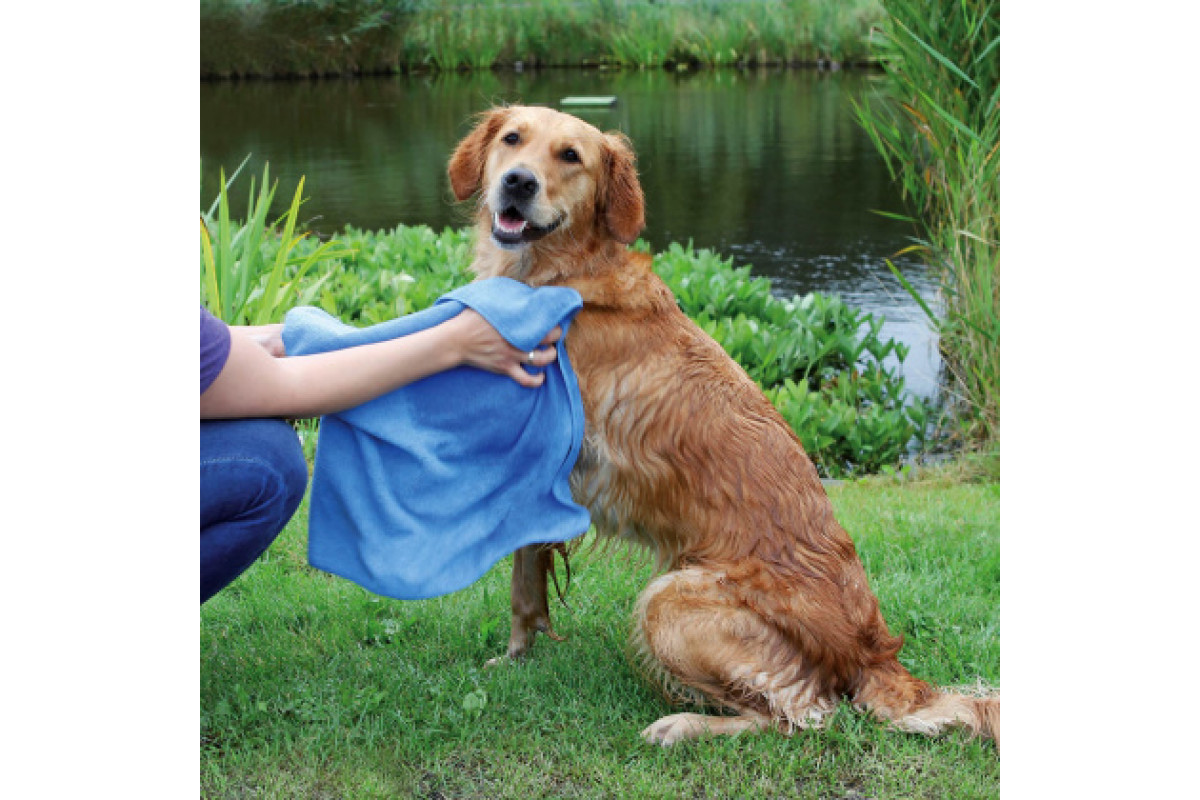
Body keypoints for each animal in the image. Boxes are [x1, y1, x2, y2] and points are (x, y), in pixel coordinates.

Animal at [448, 105, 999, 747]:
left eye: (570, 156)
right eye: (513, 140)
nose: (518, 182)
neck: (560, 274)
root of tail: (873, 652)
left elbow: (519, 580)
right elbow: (527, 582)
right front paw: (518, 659)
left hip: (669, 600)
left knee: (803, 717)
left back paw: (681, 724)